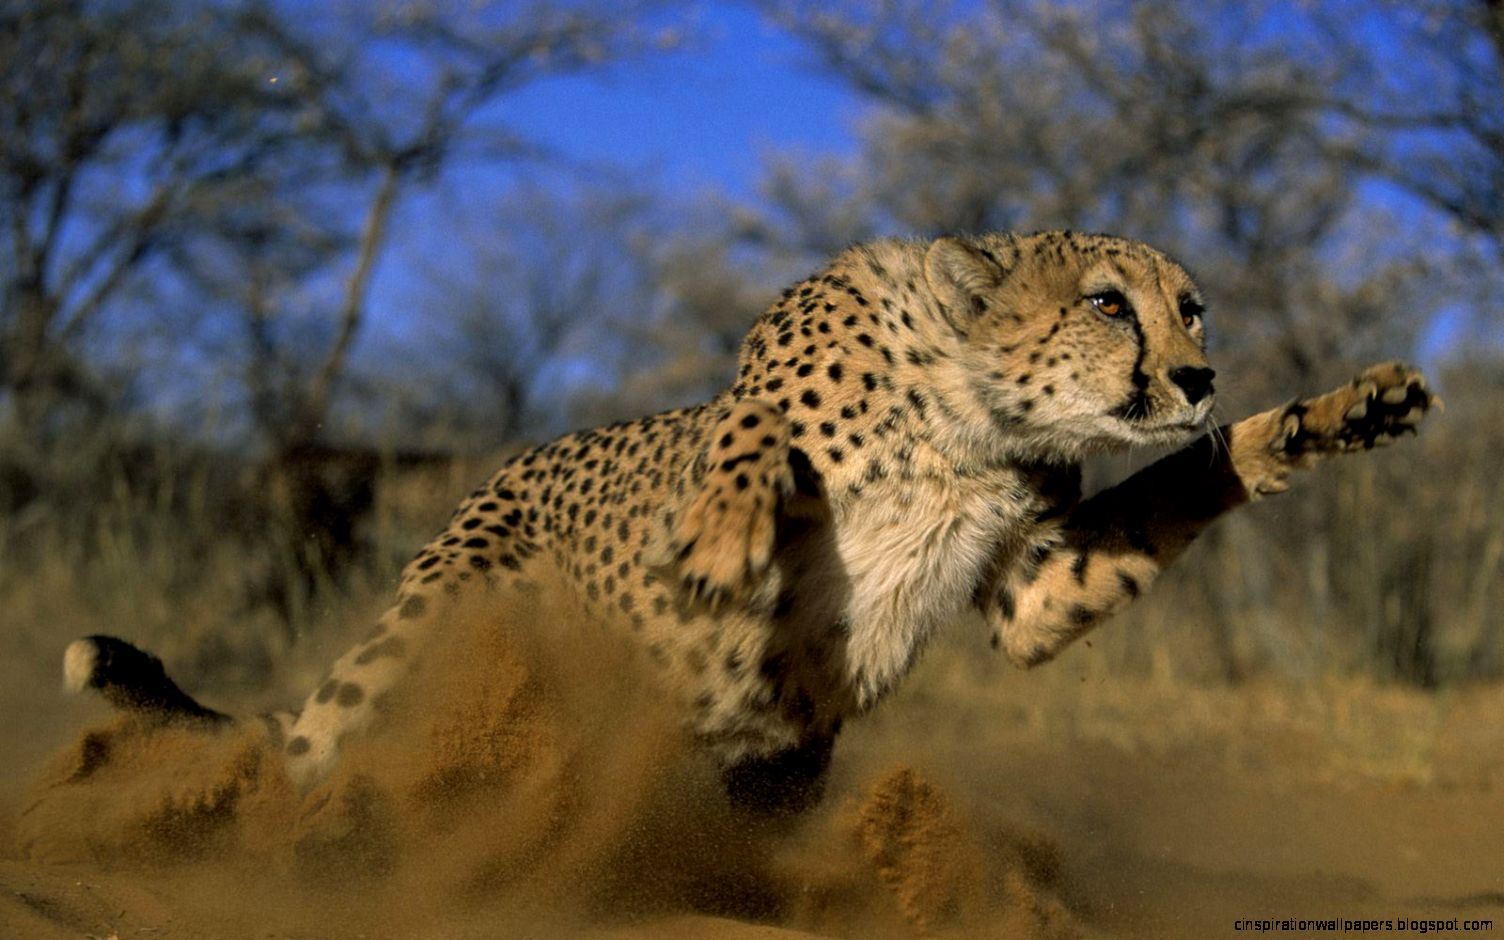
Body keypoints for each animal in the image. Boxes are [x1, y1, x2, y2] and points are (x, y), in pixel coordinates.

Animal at [64, 230, 1436, 814]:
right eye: (1107, 303)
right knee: (315, 756)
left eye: (1190, 308)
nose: (1199, 374)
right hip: (429, 627)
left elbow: (1185, 485)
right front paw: (726, 538)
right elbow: (749, 434)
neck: (967, 418)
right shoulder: (754, 389)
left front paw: (1332, 415)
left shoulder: (1034, 587)